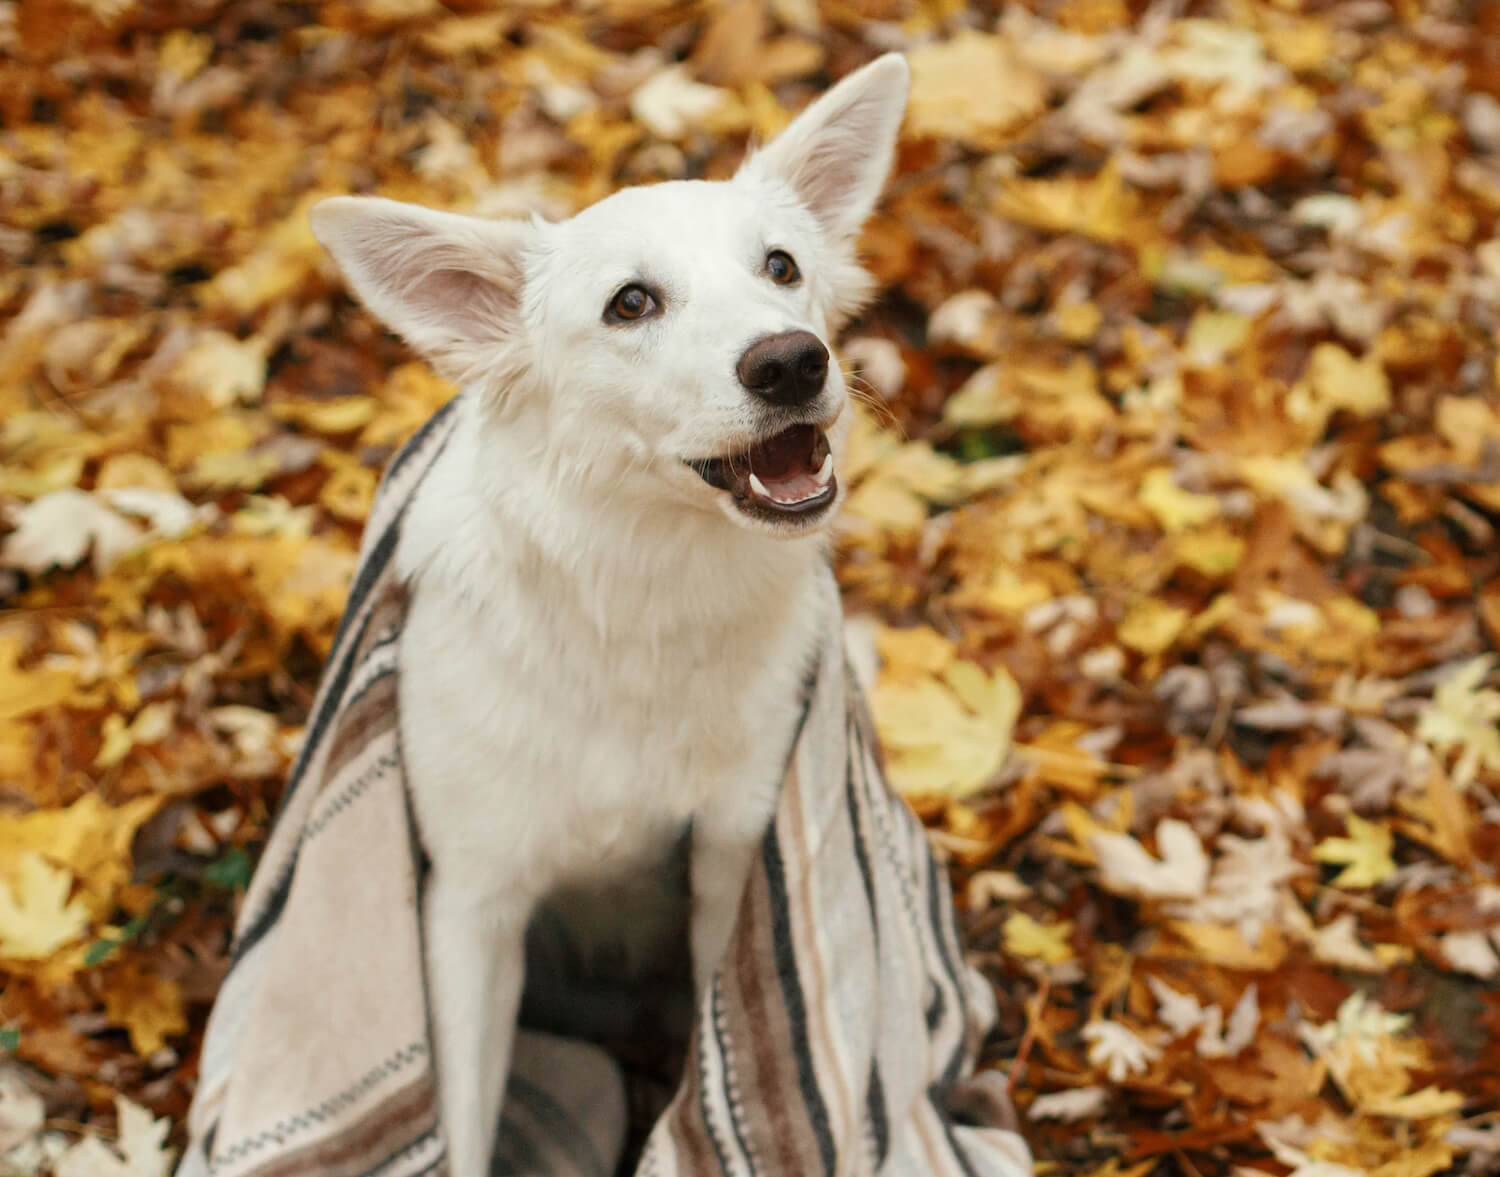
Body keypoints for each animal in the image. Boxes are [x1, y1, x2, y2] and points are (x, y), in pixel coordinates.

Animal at [310, 55, 906, 1175]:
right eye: (631, 303)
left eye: (781, 267)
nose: (791, 361)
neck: (637, 608)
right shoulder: (473, 905)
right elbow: (459, 1119)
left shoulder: (730, 854)